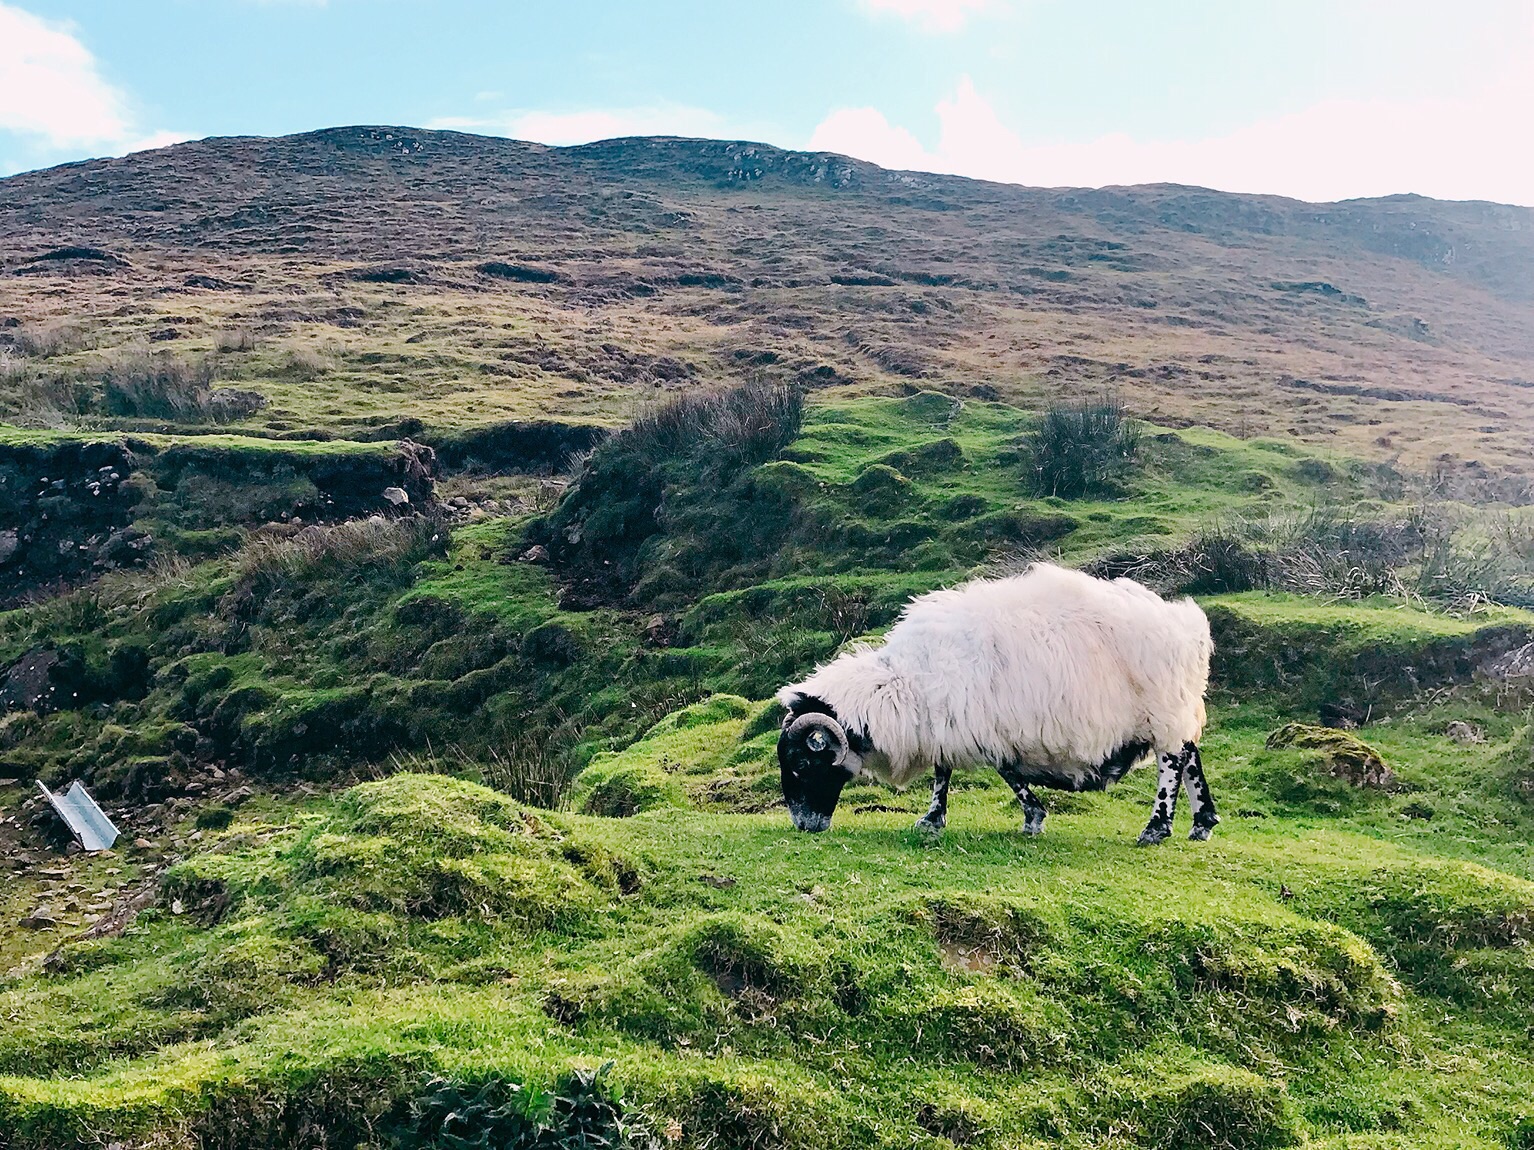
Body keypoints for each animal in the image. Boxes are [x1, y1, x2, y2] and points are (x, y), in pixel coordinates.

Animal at [779, 564, 1221, 846]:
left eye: (801, 762)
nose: (803, 825)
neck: (902, 689)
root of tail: (1189, 626)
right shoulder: (952, 725)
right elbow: (944, 771)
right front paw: (933, 820)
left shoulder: (985, 728)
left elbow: (1003, 773)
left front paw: (1032, 818)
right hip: (1177, 706)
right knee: (1190, 753)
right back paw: (1202, 822)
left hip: (1162, 707)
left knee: (1172, 761)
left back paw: (1157, 828)